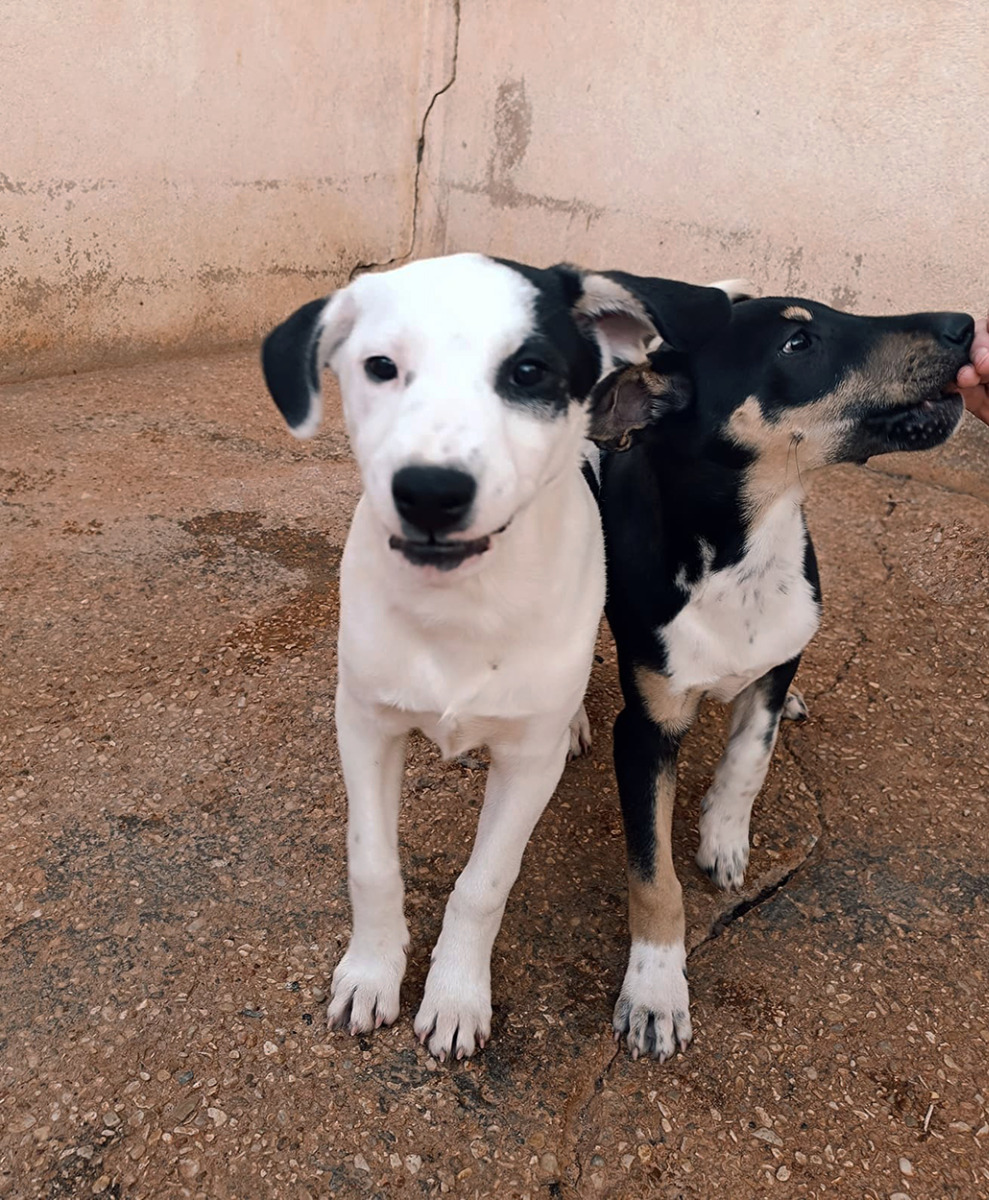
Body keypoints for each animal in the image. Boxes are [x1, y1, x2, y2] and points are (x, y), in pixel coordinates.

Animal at [260, 253, 734, 1059]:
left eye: (529, 371)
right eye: (380, 366)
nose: (429, 492)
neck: (462, 605)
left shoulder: (525, 765)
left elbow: (484, 886)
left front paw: (454, 995)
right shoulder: (363, 725)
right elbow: (371, 863)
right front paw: (372, 970)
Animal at [590, 296, 973, 1061]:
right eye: (798, 342)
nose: (965, 325)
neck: (742, 554)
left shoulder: (779, 656)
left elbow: (750, 757)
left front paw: (723, 835)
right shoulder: (643, 730)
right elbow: (652, 876)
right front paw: (654, 990)